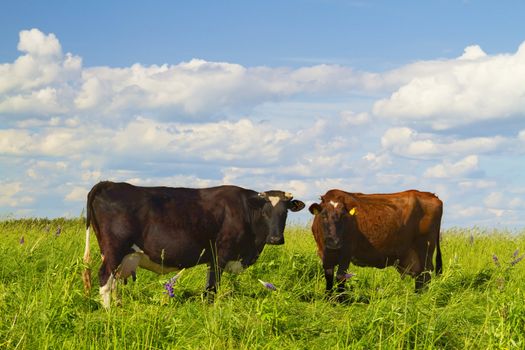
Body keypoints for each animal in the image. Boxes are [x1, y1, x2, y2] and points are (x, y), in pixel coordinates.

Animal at [81, 182, 302, 308]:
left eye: (285, 212)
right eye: (265, 212)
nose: (275, 239)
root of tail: (108, 183)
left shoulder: (212, 258)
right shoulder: (220, 254)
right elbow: (212, 287)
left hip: (118, 254)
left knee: (114, 281)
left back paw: (119, 307)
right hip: (114, 249)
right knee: (104, 277)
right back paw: (109, 312)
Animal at [308, 189, 442, 296]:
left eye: (343, 216)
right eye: (323, 215)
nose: (334, 242)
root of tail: (430, 195)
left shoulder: (346, 253)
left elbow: (340, 276)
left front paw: (340, 299)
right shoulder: (323, 253)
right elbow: (329, 275)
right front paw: (328, 297)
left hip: (425, 250)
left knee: (425, 275)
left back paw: (421, 296)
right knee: (420, 277)